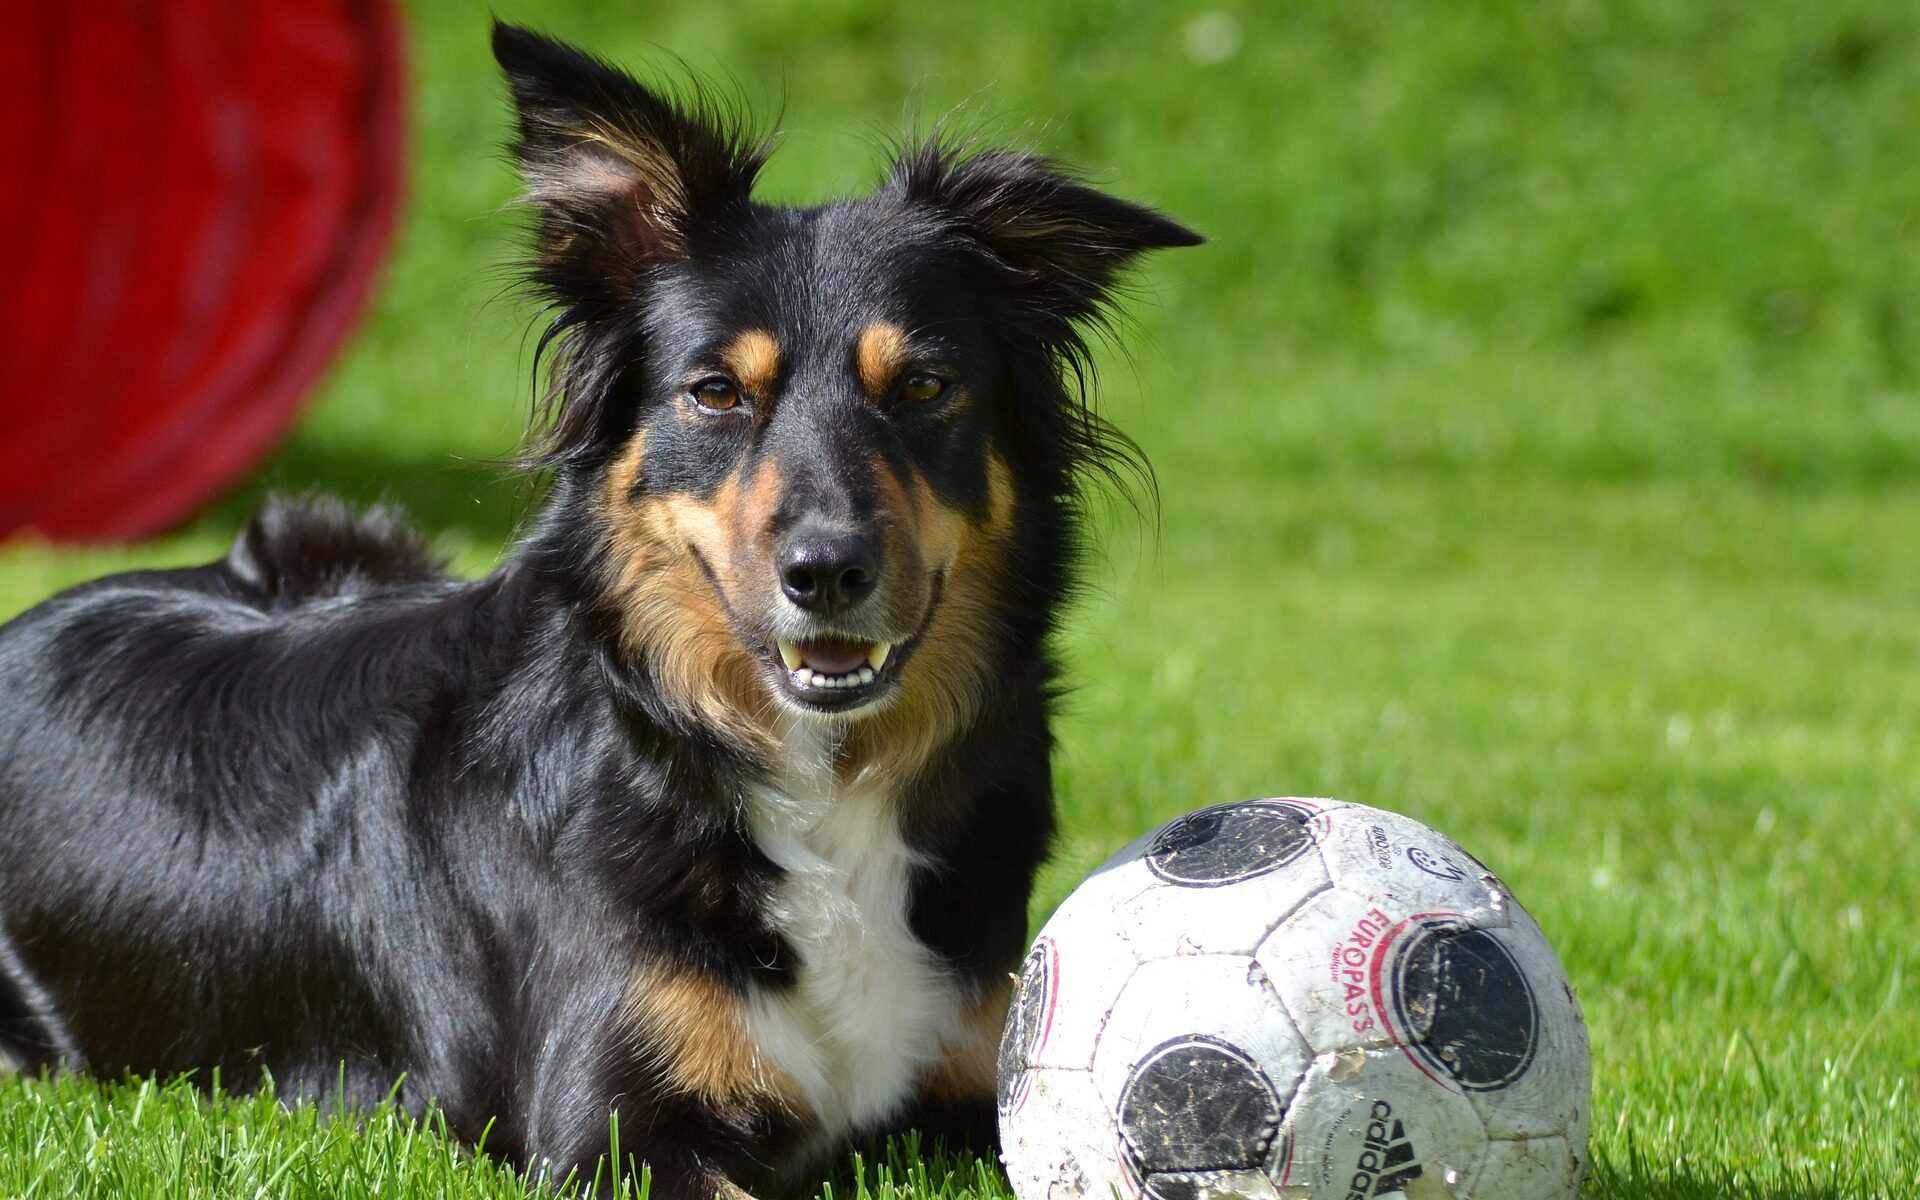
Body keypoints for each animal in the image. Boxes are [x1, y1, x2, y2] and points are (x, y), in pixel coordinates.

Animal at [0, 23, 1198, 1190]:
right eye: (716, 393)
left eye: (923, 387)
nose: (827, 571)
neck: (813, 775)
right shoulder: (615, 1131)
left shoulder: (982, 1085)